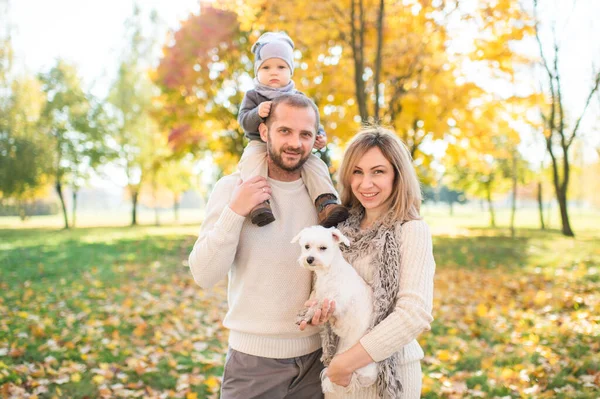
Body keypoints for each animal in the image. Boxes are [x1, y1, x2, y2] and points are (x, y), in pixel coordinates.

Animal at [290, 227, 376, 396]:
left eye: (323, 248)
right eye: (306, 246)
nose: (309, 259)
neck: (328, 272)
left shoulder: (335, 301)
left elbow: (316, 306)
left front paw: (307, 316)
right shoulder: (320, 294)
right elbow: (313, 303)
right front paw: (304, 313)